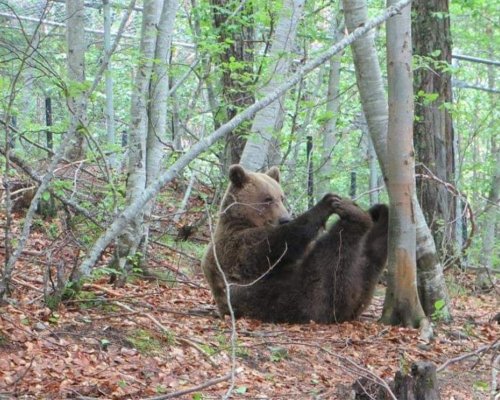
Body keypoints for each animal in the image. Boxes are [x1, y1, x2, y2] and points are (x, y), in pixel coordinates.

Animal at [201, 164, 388, 324]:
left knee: (372, 257)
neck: (244, 221)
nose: (285, 218)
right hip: (302, 295)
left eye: (281, 197)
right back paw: (355, 214)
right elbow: (275, 244)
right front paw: (326, 203)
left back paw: (377, 211)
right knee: (335, 258)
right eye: (267, 198)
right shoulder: (235, 248)